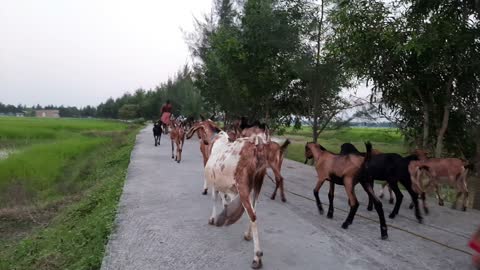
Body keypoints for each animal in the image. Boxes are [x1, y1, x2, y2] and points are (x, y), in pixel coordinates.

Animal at [203, 131, 268, 268]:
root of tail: (257, 145)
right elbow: (225, 198)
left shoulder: (215, 183)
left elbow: (214, 198)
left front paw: (213, 219)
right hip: (257, 184)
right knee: (254, 211)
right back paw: (247, 235)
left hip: (243, 187)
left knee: (252, 215)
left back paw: (257, 257)